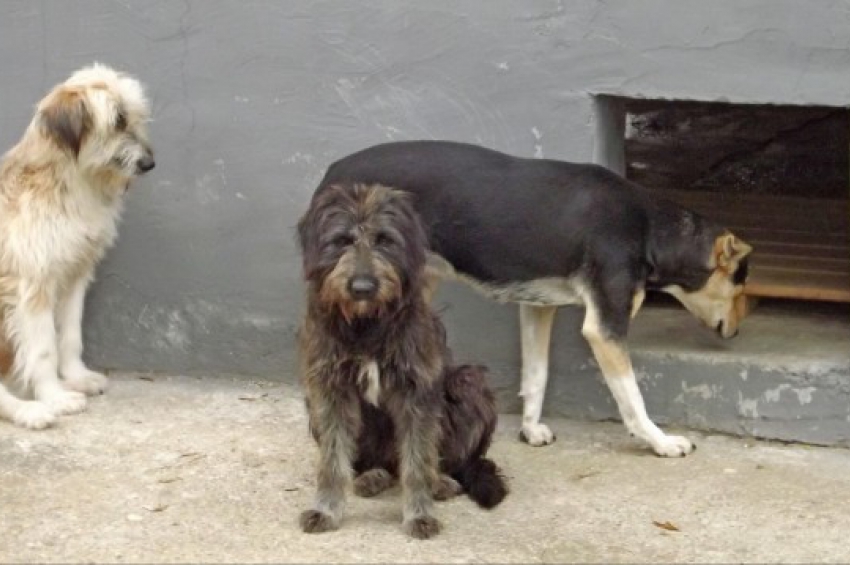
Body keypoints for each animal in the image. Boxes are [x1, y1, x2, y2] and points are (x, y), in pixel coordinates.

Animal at [0, 64, 154, 429]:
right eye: (118, 120)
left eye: (136, 117)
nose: (149, 163)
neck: (66, 184)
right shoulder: (33, 285)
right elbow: (43, 349)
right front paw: (54, 395)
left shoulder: (74, 275)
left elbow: (69, 335)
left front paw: (75, 377)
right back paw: (31, 411)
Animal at [297, 182, 507, 539]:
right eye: (342, 240)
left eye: (385, 240)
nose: (362, 287)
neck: (367, 324)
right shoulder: (331, 389)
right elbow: (333, 461)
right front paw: (326, 509)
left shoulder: (416, 391)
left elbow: (418, 462)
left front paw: (419, 514)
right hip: (317, 407)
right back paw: (371, 475)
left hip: (470, 383)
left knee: (435, 461)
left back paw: (440, 481)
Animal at [313, 140, 753, 458]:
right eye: (740, 287)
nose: (736, 334)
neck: (649, 228)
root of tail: (332, 173)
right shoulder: (605, 326)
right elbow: (632, 397)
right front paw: (660, 441)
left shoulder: (537, 307)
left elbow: (536, 375)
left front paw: (529, 429)